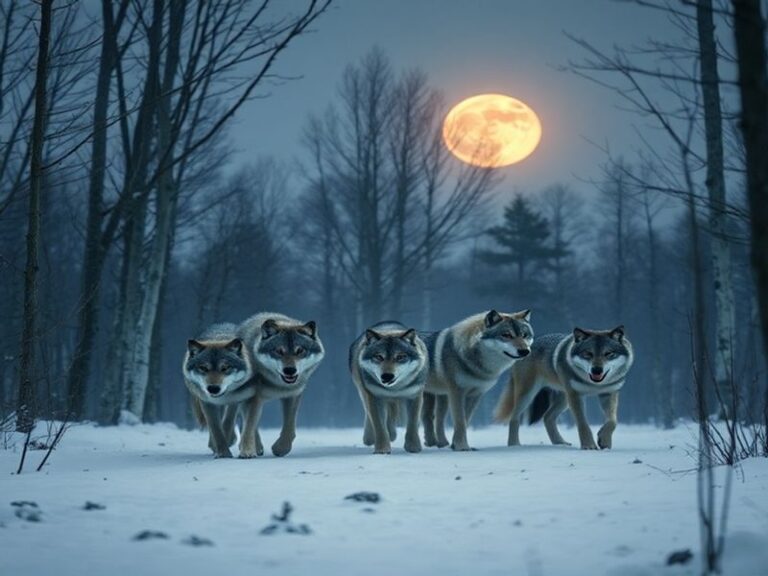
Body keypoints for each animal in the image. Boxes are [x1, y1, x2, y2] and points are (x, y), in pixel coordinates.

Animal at [183, 322, 254, 458]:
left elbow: (227, 422)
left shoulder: (234, 400)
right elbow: (215, 428)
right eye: (203, 368)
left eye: (225, 368)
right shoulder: (206, 401)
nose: (213, 388)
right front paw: (222, 452)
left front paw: (228, 442)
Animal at [235, 312, 324, 458]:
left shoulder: (293, 395)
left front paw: (281, 449)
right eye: (279, 351)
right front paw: (248, 451)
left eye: (300, 351)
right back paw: (256, 447)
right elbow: (249, 426)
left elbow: (290, 427)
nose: (290, 370)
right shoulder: (253, 397)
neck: (278, 385)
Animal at [349, 321, 429, 454]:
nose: (387, 376)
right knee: (370, 413)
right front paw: (382, 449)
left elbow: (412, 424)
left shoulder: (414, 396)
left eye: (400, 357)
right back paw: (371, 437)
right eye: (379, 357)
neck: (394, 389)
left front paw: (413, 447)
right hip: (364, 391)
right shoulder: (375, 397)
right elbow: (379, 426)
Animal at [422, 309, 533, 451]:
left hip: (439, 396)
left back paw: (438, 443)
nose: (525, 351)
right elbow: (460, 421)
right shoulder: (457, 393)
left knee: (433, 418)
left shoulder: (475, 395)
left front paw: (455, 445)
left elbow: (465, 421)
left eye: (524, 335)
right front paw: (462, 447)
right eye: (506, 335)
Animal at [495, 326, 634, 450]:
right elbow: (583, 423)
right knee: (514, 417)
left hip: (564, 399)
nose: (597, 370)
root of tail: (526, 347)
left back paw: (559, 442)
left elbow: (612, 421)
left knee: (547, 417)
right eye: (588, 354)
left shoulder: (609, 393)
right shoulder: (576, 395)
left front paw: (604, 441)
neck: (593, 384)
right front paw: (588, 446)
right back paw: (514, 445)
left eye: (609, 354)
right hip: (528, 394)